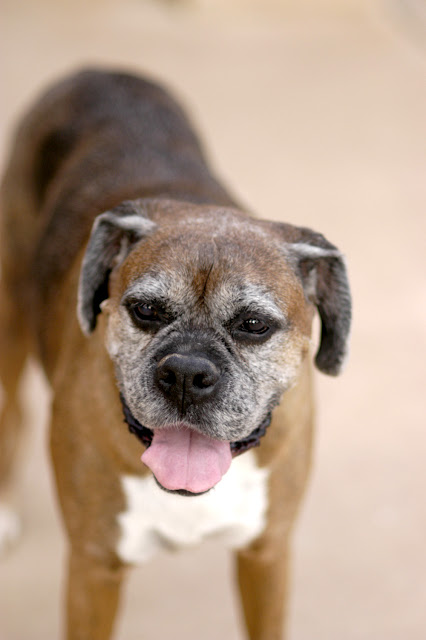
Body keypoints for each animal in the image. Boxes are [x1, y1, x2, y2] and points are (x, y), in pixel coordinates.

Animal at [0, 69, 351, 639]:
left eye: (254, 325)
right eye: (146, 310)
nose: (186, 372)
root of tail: (101, 70)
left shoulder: (267, 555)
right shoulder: (93, 571)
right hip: (9, 315)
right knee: (12, 409)